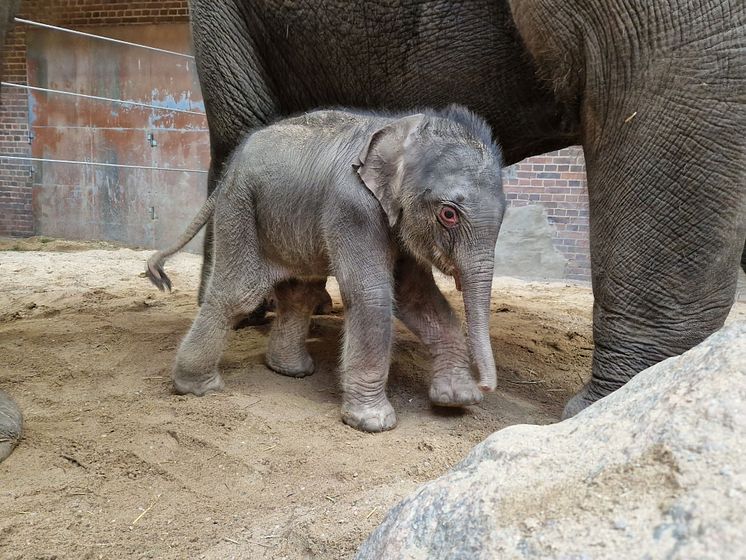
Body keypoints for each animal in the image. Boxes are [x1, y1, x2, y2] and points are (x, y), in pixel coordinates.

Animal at [147, 105, 506, 430]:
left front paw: (458, 399)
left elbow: (416, 297)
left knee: (299, 293)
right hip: (241, 208)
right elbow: (372, 295)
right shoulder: (352, 208)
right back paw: (198, 387)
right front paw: (373, 422)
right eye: (449, 214)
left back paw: (291, 370)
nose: (486, 386)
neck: (403, 131)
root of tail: (229, 170)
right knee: (238, 295)